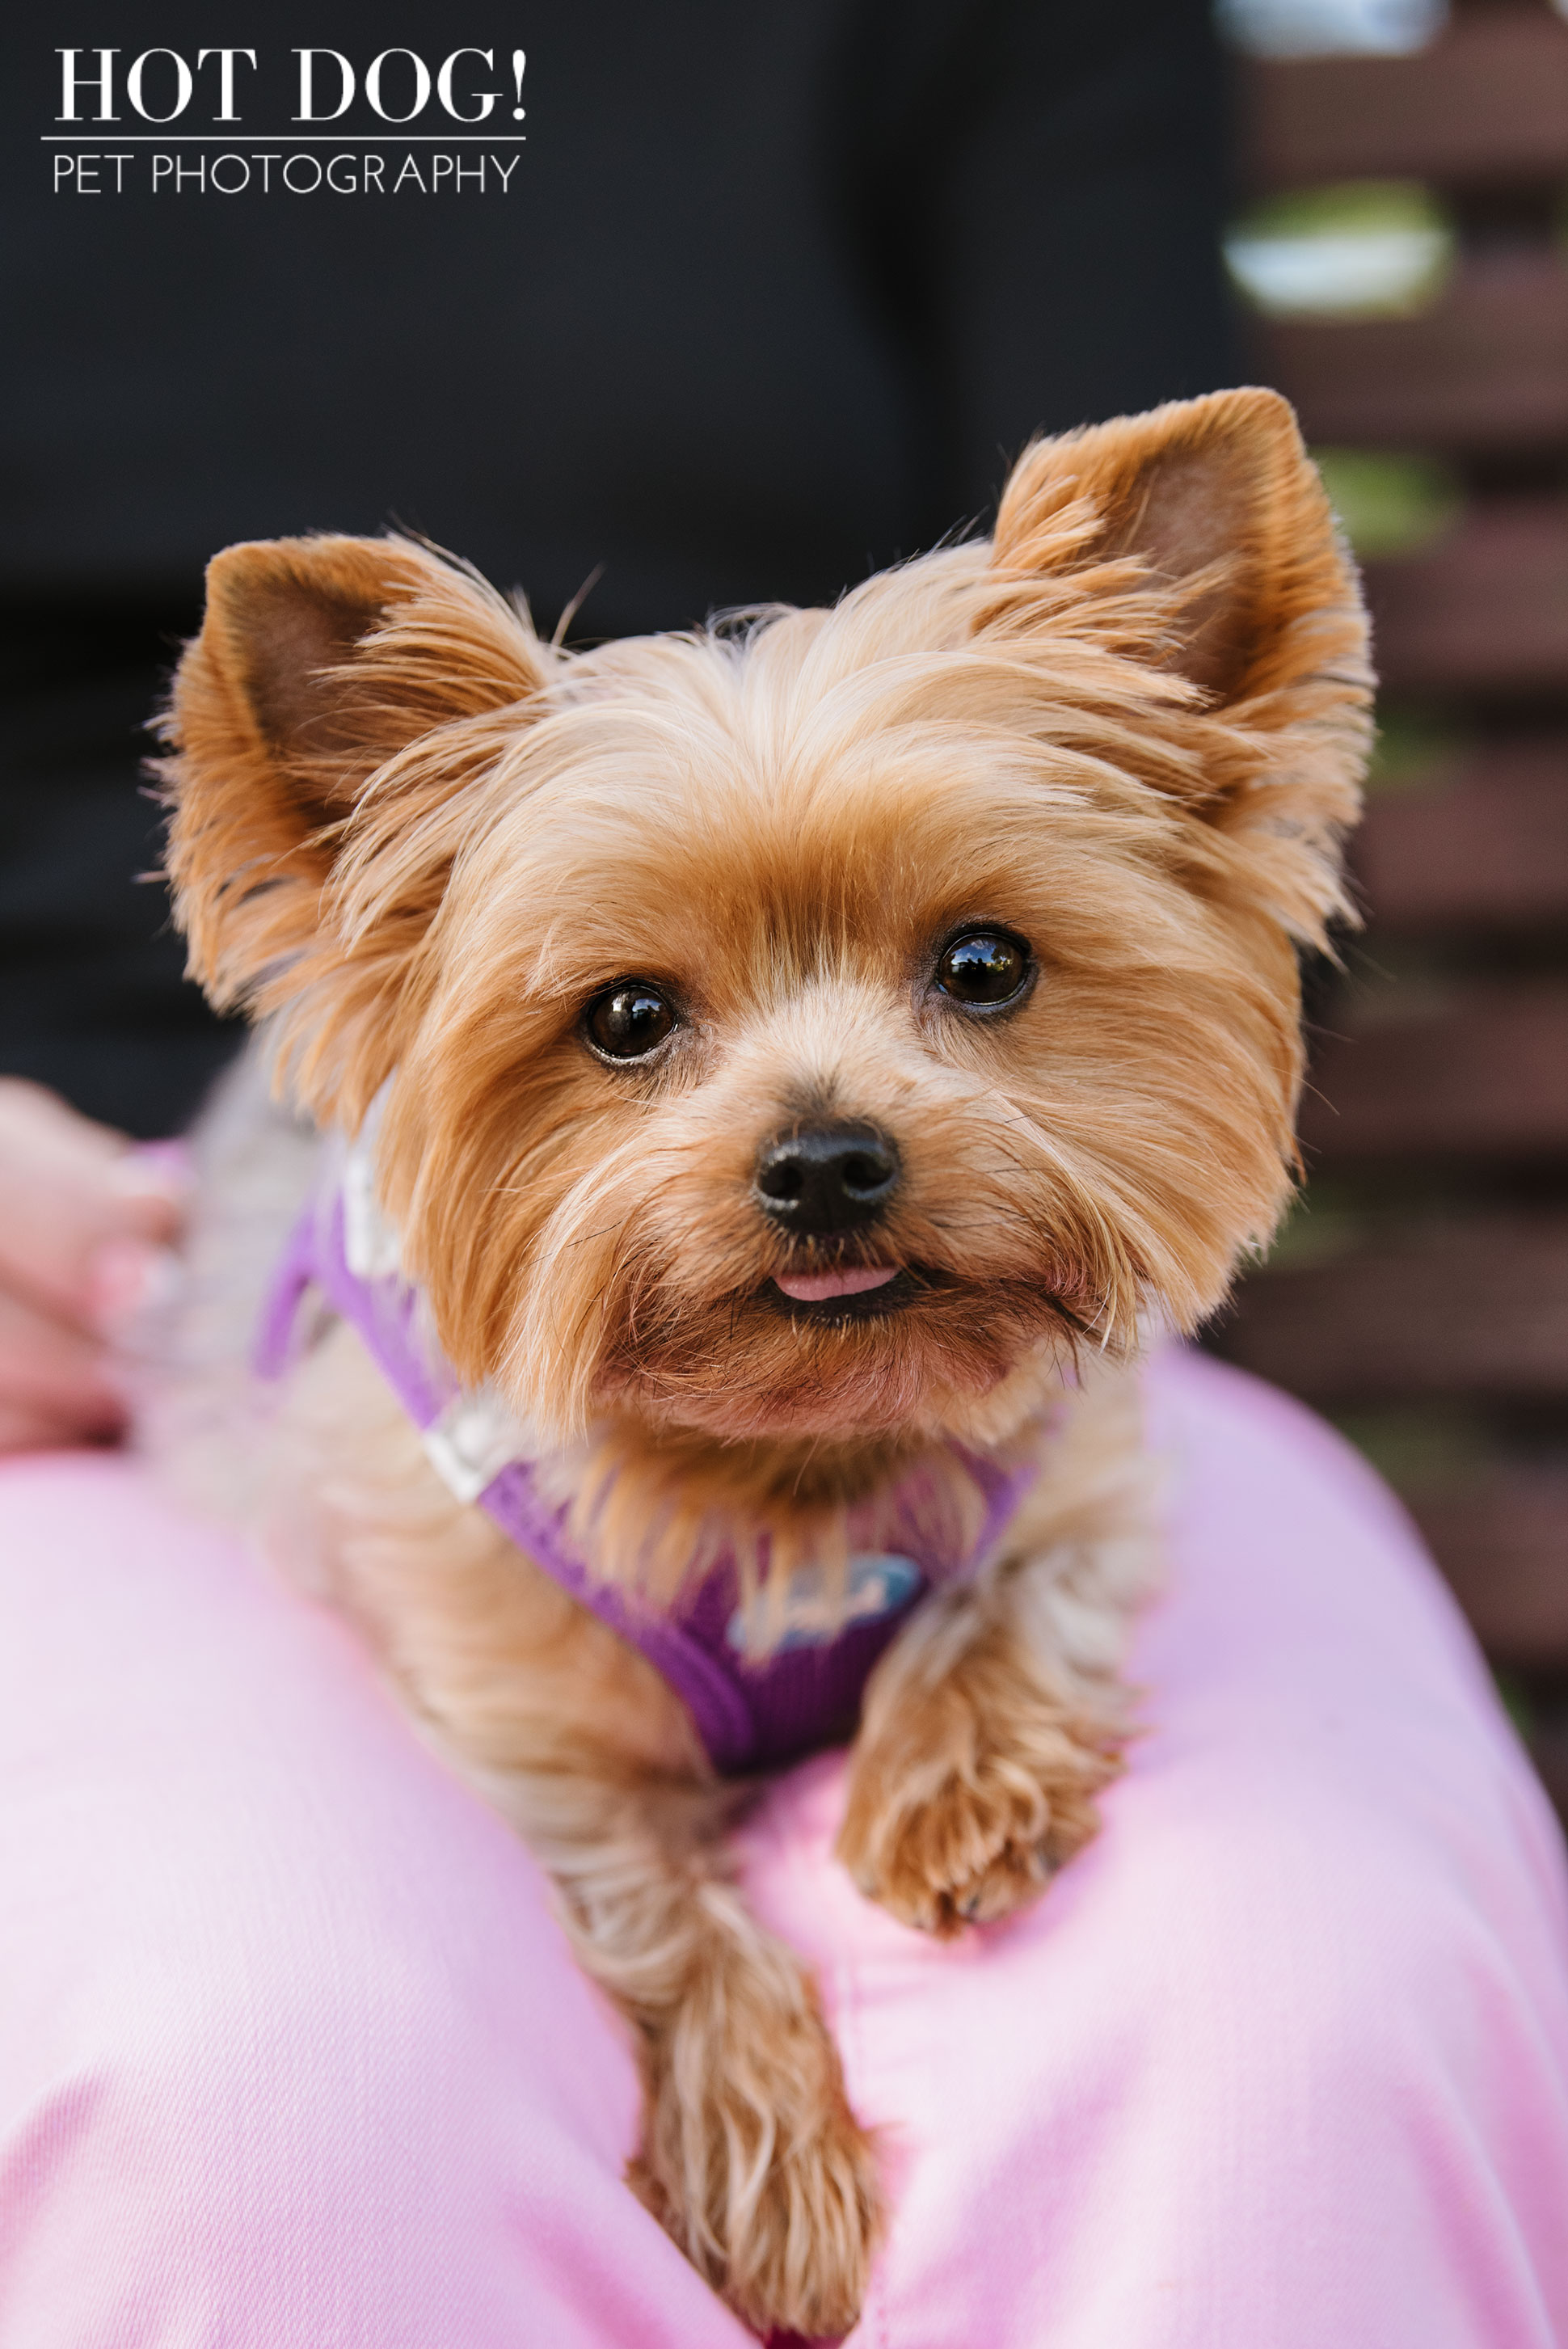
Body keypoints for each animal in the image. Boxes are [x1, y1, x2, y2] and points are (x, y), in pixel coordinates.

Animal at [152, 385, 1361, 2330]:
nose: (825, 1160)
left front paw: (954, 1787)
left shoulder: (1083, 1482)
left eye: (986, 962)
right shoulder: (524, 1720)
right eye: (628, 1017)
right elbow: (666, 1909)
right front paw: (769, 2157)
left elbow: (1011, 1589)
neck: (796, 1453)